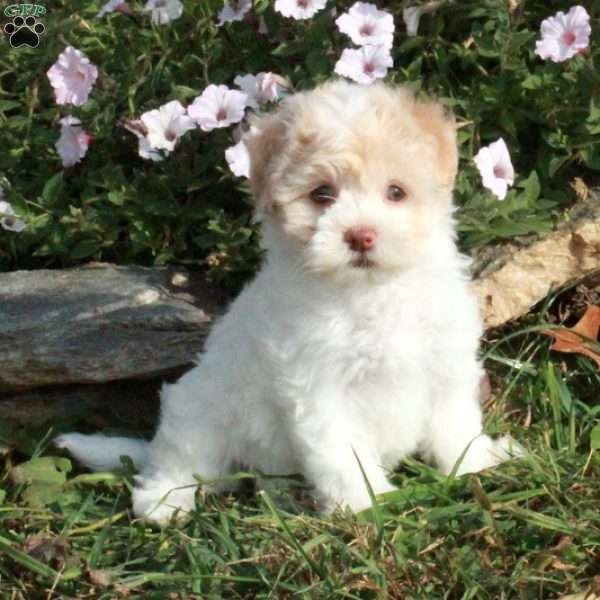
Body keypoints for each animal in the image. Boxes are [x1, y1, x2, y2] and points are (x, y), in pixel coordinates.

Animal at [55, 81, 516, 524]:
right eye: (322, 194)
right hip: (198, 412)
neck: (369, 290)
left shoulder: (444, 364)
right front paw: (364, 505)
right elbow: (342, 452)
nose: (361, 235)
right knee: (180, 460)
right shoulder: (319, 386)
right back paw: (164, 502)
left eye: (396, 192)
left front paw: (477, 467)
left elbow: (456, 426)